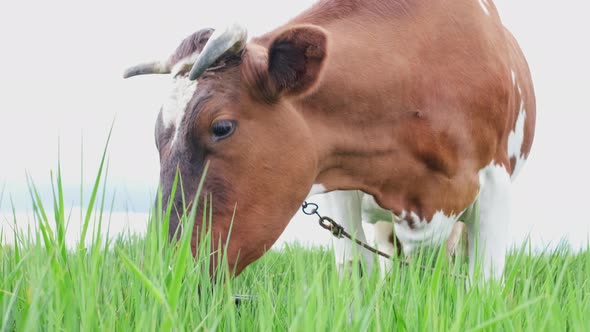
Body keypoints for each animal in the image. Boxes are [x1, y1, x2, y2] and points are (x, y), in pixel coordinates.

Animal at [123, 0, 536, 282]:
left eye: (221, 127)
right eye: (157, 136)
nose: (163, 271)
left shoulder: (496, 184)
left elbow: (483, 280)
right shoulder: (342, 181)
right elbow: (355, 269)